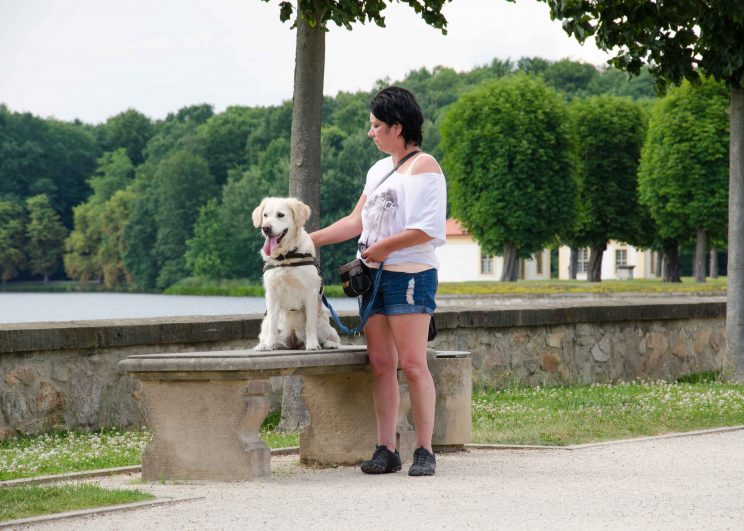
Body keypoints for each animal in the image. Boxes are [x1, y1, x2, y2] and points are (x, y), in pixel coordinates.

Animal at [251, 197, 342, 352]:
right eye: (265, 215)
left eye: (280, 215)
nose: (266, 228)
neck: (287, 255)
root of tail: (294, 339)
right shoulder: (272, 293)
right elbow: (273, 327)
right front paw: (268, 345)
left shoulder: (310, 292)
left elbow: (310, 325)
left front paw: (312, 344)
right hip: (266, 323)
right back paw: (267, 344)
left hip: (324, 322)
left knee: (334, 338)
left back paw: (328, 343)